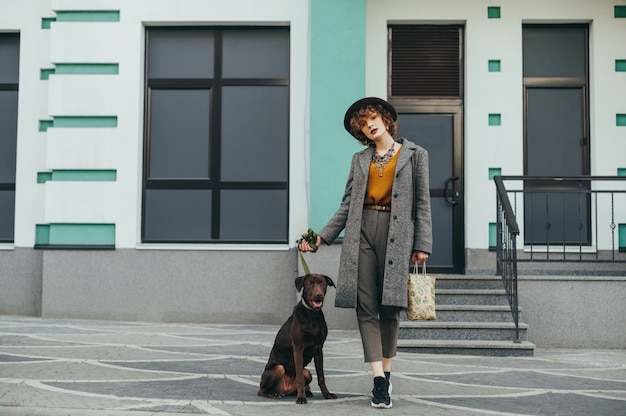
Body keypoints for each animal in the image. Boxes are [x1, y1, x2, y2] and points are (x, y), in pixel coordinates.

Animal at [258, 272, 336, 404]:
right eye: (310, 284)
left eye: (323, 283)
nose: (319, 295)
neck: (312, 315)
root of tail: (284, 390)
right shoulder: (298, 348)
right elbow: (300, 378)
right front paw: (301, 398)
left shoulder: (319, 349)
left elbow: (321, 377)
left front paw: (327, 394)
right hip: (278, 368)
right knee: (261, 390)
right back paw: (273, 394)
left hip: (307, 372)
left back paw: (305, 392)